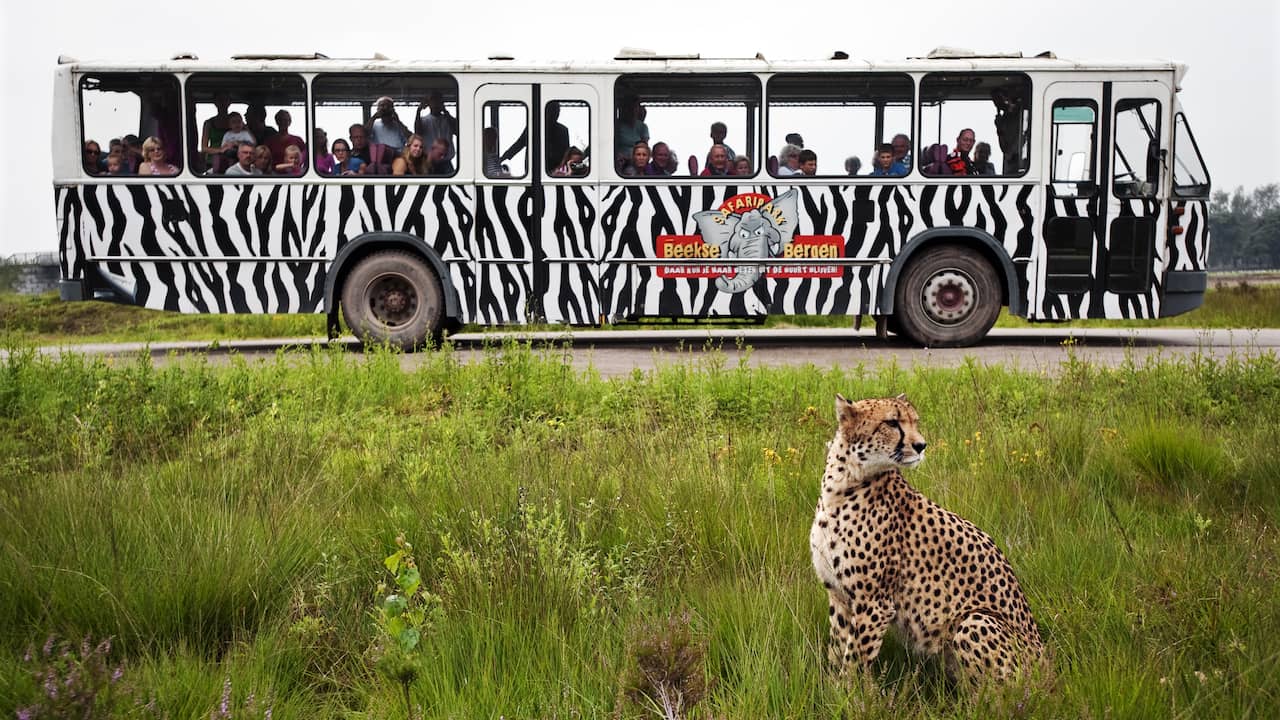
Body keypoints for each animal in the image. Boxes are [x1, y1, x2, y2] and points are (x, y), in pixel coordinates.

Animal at [809, 393, 1046, 684]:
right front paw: (831, 688)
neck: (842, 484)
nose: (921, 445)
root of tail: (1049, 668)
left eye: (915, 421)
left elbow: (853, 662)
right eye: (892, 422)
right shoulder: (839, 596)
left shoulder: (874, 603)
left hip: (974, 621)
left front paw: (849, 693)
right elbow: (836, 651)